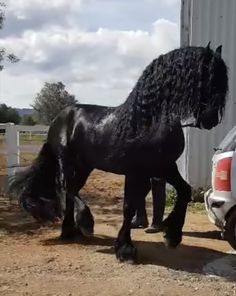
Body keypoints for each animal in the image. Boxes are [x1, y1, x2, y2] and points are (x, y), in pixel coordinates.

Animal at [9, 44, 229, 262]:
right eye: (206, 75)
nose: (211, 119)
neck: (149, 122)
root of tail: (59, 117)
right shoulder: (135, 171)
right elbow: (128, 206)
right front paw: (126, 249)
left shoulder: (165, 167)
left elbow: (184, 191)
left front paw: (171, 235)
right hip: (67, 161)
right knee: (66, 188)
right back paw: (85, 223)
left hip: (84, 166)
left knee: (72, 191)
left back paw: (71, 231)